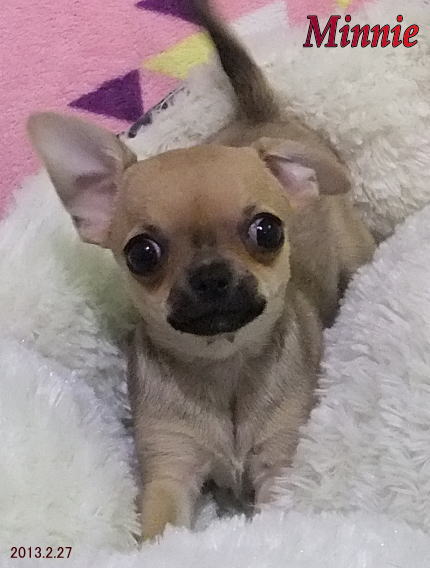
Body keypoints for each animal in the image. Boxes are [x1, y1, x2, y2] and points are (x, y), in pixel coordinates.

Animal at [27, 0, 375, 541]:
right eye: (142, 254)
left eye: (267, 231)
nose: (211, 274)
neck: (223, 368)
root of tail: (261, 115)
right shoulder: (171, 469)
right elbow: (161, 531)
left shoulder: (278, 465)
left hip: (357, 252)